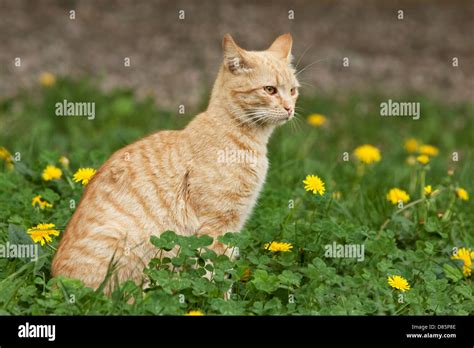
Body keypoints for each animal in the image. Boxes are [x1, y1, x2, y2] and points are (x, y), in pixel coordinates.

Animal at [51, 34, 296, 290]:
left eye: (293, 90)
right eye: (269, 90)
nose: (290, 108)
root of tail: (55, 281)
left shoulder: (233, 226)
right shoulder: (217, 226)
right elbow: (214, 274)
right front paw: (217, 296)